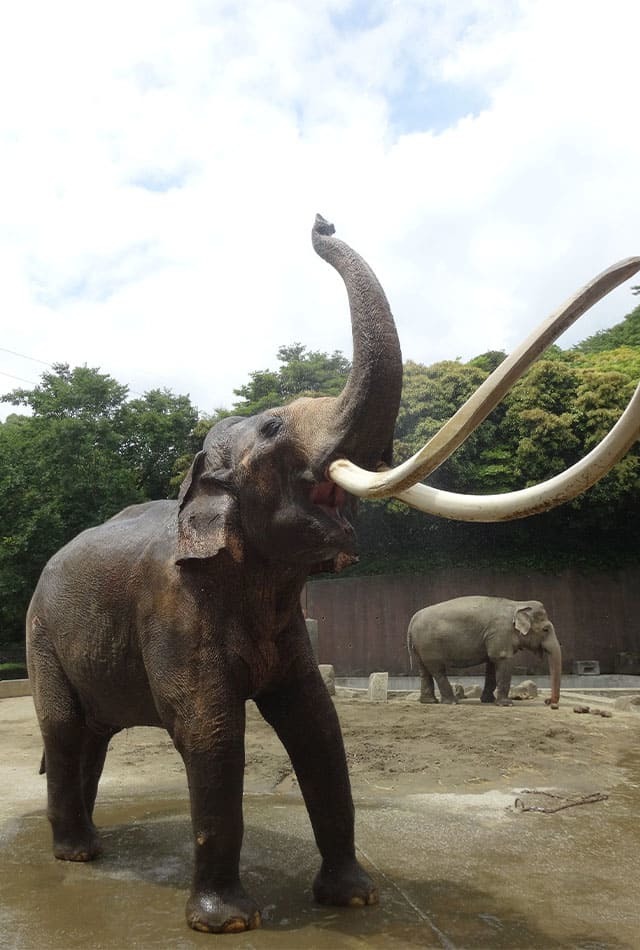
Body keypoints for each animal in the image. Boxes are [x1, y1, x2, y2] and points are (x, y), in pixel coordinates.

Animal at [408, 600, 564, 712]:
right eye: (546, 629)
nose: (549, 702)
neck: (518, 604)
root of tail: (413, 619)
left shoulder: (494, 638)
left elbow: (491, 664)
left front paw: (488, 700)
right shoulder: (501, 633)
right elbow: (502, 661)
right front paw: (506, 704)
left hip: (420, 647)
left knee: (424, 671)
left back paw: (429, 701)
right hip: (429, 646)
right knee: (437, 670)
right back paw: (452, 702)